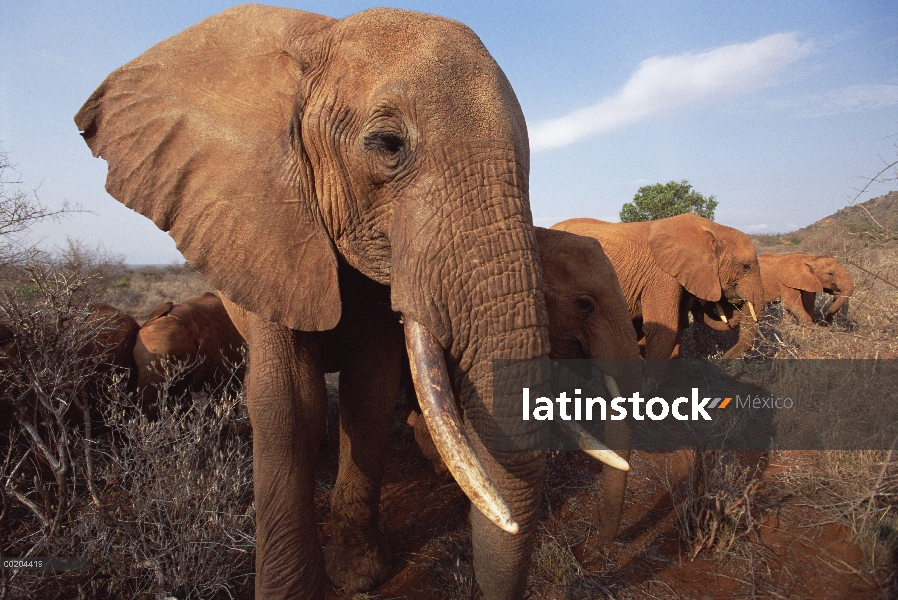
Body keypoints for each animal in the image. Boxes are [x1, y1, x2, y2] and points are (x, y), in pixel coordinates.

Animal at [77, 5, 548, 600]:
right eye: (388, 144)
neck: (321, 36)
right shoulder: (267, 233)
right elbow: (288, 403)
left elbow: (368, 390)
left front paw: (360, 576)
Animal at [552, 213, 764, 358]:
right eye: (745, 267)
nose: (722, 360)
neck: (711, 228)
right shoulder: (661, 277)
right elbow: (663, 331)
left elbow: (676, 332)